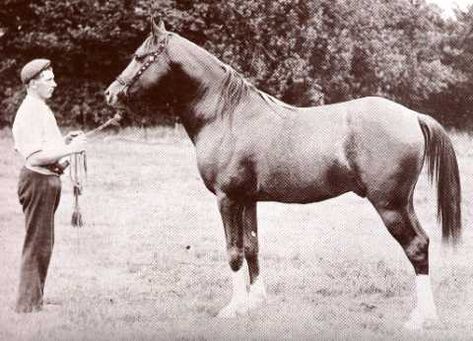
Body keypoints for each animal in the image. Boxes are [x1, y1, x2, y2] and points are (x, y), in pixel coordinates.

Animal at [104, 19, 460, 328]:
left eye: (139, 57)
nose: (110, 93)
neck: (226, 114)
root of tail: (412, 116)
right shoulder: (247, 199)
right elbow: (252, 247)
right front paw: (255, 302)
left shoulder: (227, 199)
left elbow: (233, 251)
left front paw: (234, 308)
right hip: (404, 203)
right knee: (423, 243)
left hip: (390, 205)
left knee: (416, 247)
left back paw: (421, 320)